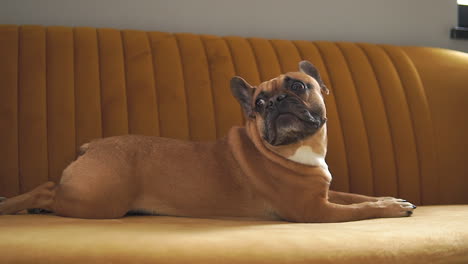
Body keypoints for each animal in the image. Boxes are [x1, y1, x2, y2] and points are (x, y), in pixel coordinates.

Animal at [0, 61, 416, 223]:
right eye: (258, 103)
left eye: (298, 86)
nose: (275, 103)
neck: (296, 151)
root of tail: (94, 145)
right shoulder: (316, 211)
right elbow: (362, 209)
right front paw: (391, 208)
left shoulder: (326, 193)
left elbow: (357, 196)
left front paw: (393, 198)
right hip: (99, 202)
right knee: (47, 188)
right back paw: (17, 203)